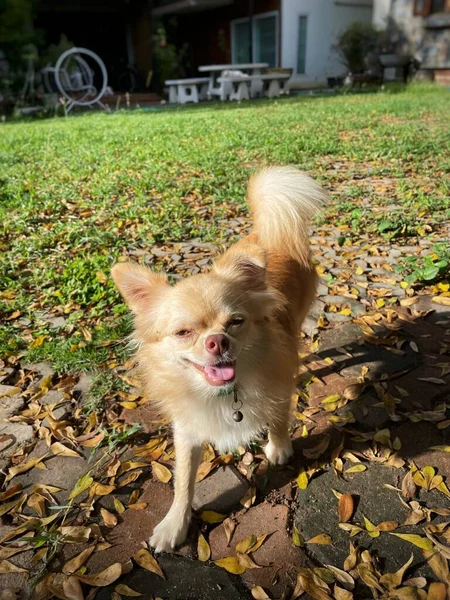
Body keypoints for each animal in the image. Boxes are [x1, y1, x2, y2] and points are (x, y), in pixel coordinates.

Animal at [110, 166, 328, 552]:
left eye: (235, 322)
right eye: (183, 333)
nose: (217, 341)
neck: (223, 394)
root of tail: (266, 232)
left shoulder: (278, 387)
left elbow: (278, 418)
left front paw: (279, 447)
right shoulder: (187, 429)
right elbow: (183, 481)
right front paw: (174, 525)